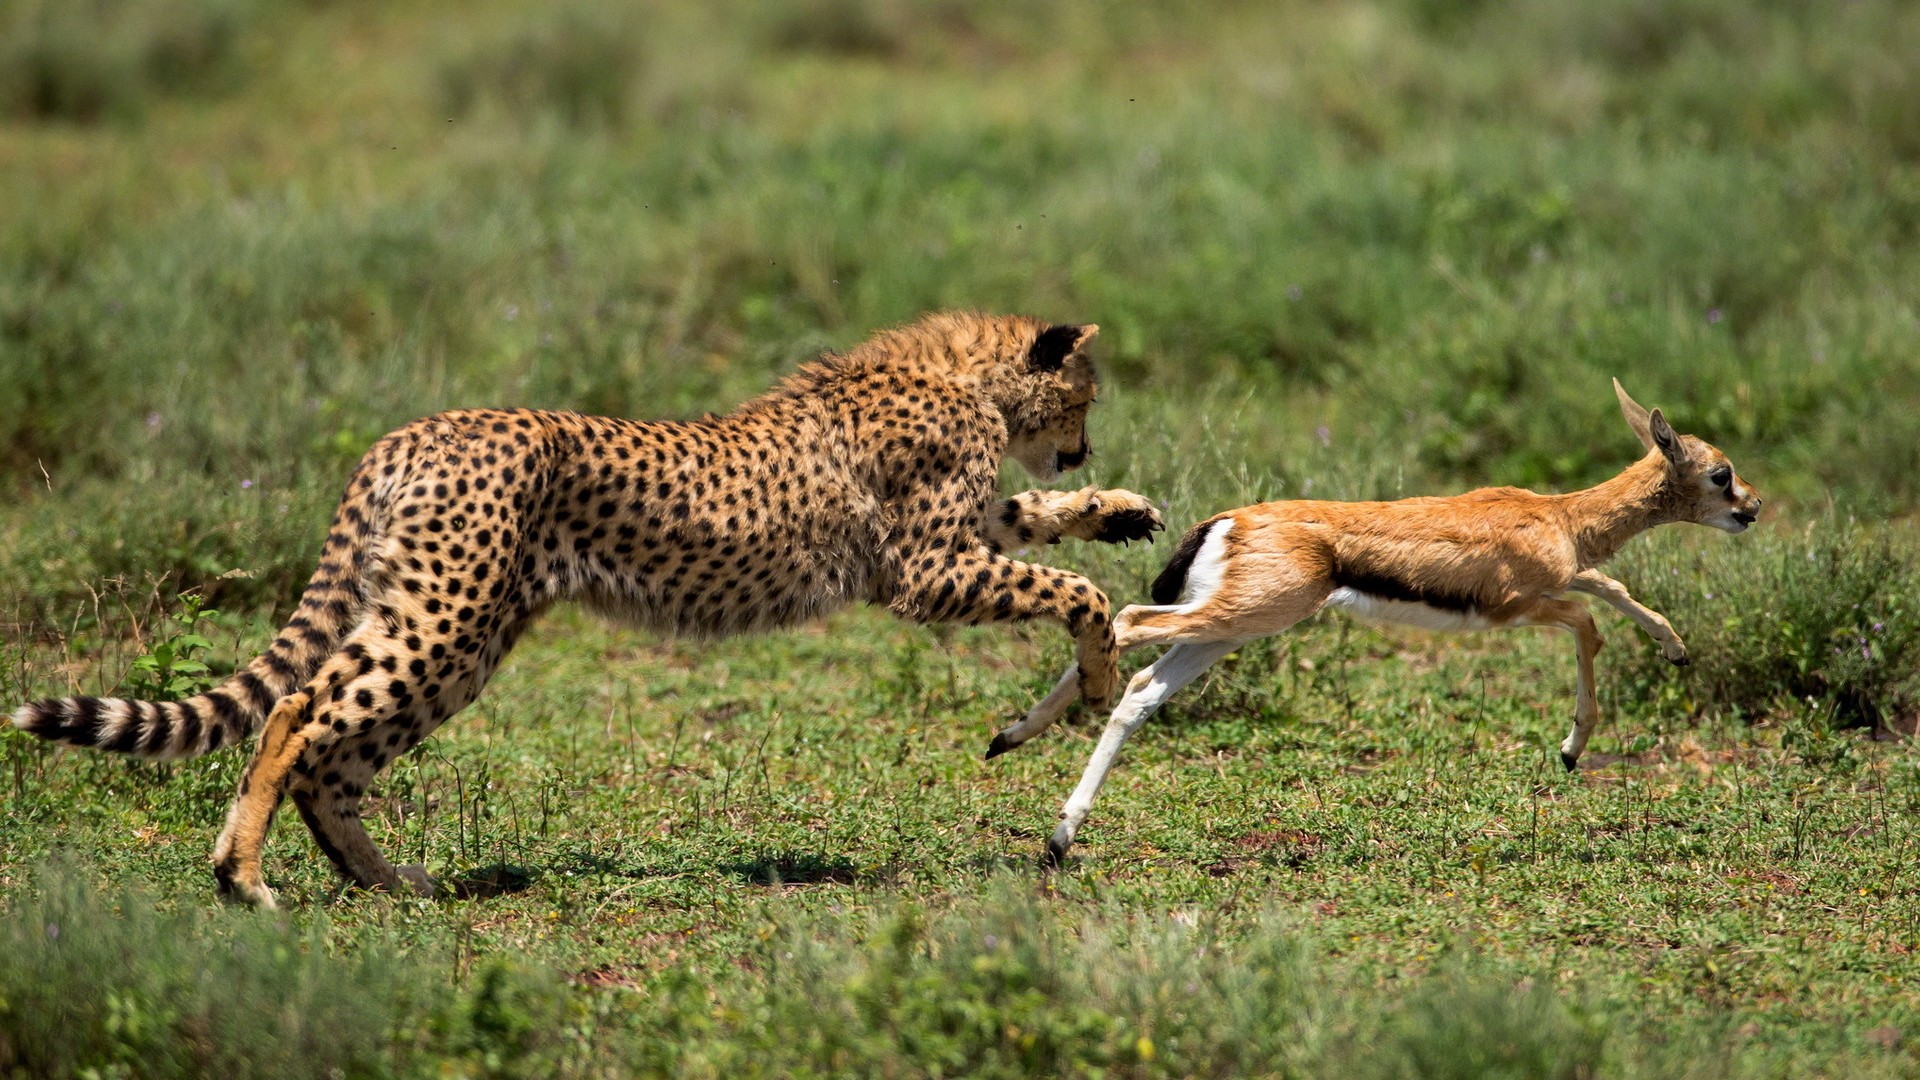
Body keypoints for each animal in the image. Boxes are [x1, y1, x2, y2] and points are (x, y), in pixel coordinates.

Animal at [15, 313, 1159, 907]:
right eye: (1086, 396)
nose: (1085, 447)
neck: (960, 376)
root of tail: (415, 429)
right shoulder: (923, 571)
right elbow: (1075, 592)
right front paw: (1100, 669)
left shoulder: (948, 542)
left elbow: (1035, 523)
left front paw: (1116, 511)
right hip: (445, 619)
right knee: (298, 714)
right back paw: (242, 877)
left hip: (457, 634)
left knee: (334, 757)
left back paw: (390, 882)